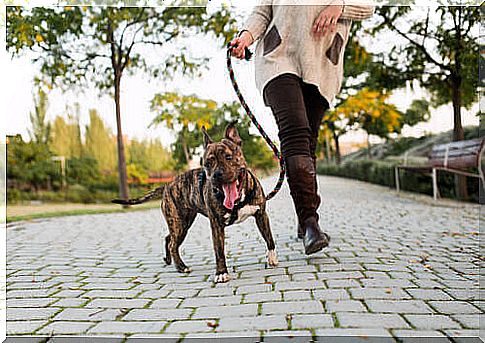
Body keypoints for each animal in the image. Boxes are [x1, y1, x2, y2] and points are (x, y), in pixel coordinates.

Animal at [112, 125, 276, 284]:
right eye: (207, 164)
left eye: (228, 157)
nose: (216, 175)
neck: (238, 201)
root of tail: (167, 185)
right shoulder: (216, 225)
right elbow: (219, 251)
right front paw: (221, 273)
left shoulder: (261, 215)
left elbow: (269, 238)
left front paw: (272, 258)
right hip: (179, 224)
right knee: (173, 244)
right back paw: (181, 267)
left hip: (182, 223)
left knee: (169, 238)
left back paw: (169, 260)